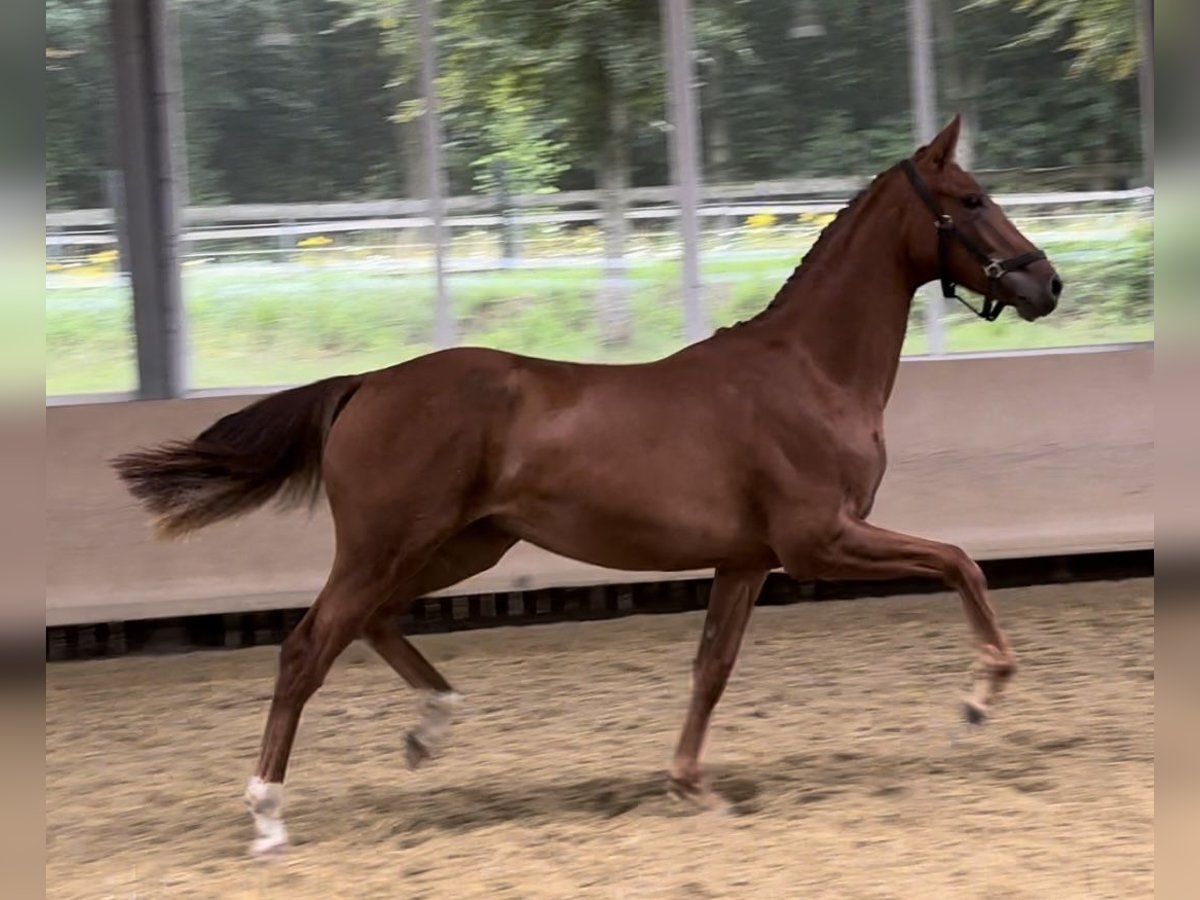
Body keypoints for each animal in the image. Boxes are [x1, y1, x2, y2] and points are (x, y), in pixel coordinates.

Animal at [114, 116, 1060, 854]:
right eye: (972, 199)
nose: (1045, 281)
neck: (808, 373)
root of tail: (366, 384)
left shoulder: (745, 560)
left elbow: (712, 669)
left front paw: (690, 786)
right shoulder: (818, 542)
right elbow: (959, 561)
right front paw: (979, 699)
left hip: (460, 548)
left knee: (369, 624)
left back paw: (430, 730)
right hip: (390, 545)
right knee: (308, 647)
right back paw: (269, 815)